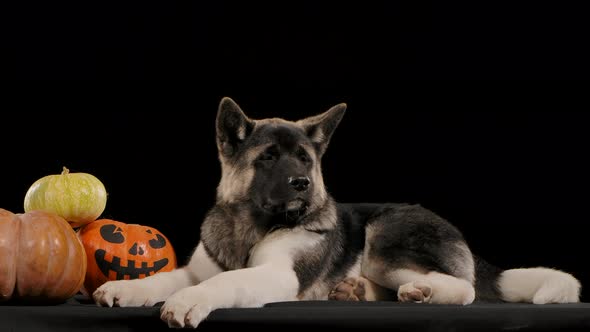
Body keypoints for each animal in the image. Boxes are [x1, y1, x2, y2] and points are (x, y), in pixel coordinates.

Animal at [93, 97, 584, 328]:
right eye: (268, 158)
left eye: (305, 159)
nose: (302, 184)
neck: (251, 224)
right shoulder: (197, 267)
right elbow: (166, 277)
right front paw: (128, 289)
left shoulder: (278, 276)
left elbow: (223, 283)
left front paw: (188, 302)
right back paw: (357, 291)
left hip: (387, 235)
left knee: (464, 289)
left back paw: (421, 292)